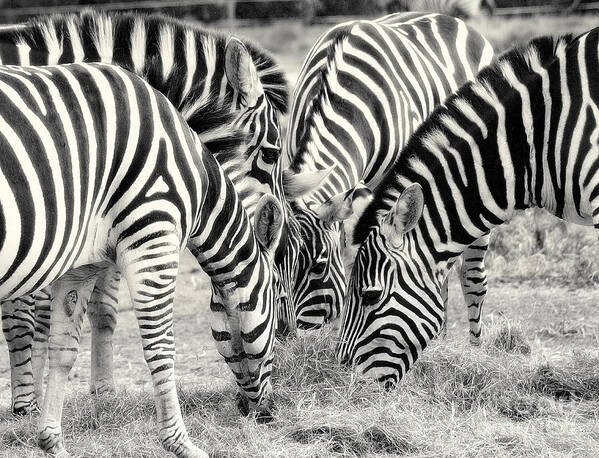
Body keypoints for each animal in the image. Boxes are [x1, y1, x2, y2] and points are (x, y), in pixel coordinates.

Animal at [0, 9, 292, 416]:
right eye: (271, 153)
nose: (260, 411)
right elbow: (28, 319)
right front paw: (28, 405)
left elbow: (96, 310)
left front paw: (100, 395)